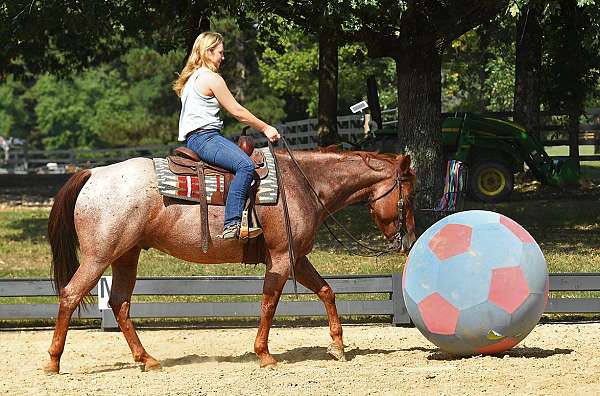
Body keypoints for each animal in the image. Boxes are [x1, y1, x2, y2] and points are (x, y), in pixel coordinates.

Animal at [43, 148, 418, 374]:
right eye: (409, 196)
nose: (409, 240)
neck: (303, 184)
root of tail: (93, 173)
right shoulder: (281, 259)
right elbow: (269, 303)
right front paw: (264, 354)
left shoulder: (296, 258)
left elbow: (327, 291)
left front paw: (338, 346)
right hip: (98, 257)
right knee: (71, 295)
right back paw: (53, 361)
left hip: (126, 256)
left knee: (119, 303)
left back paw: (147, 359)